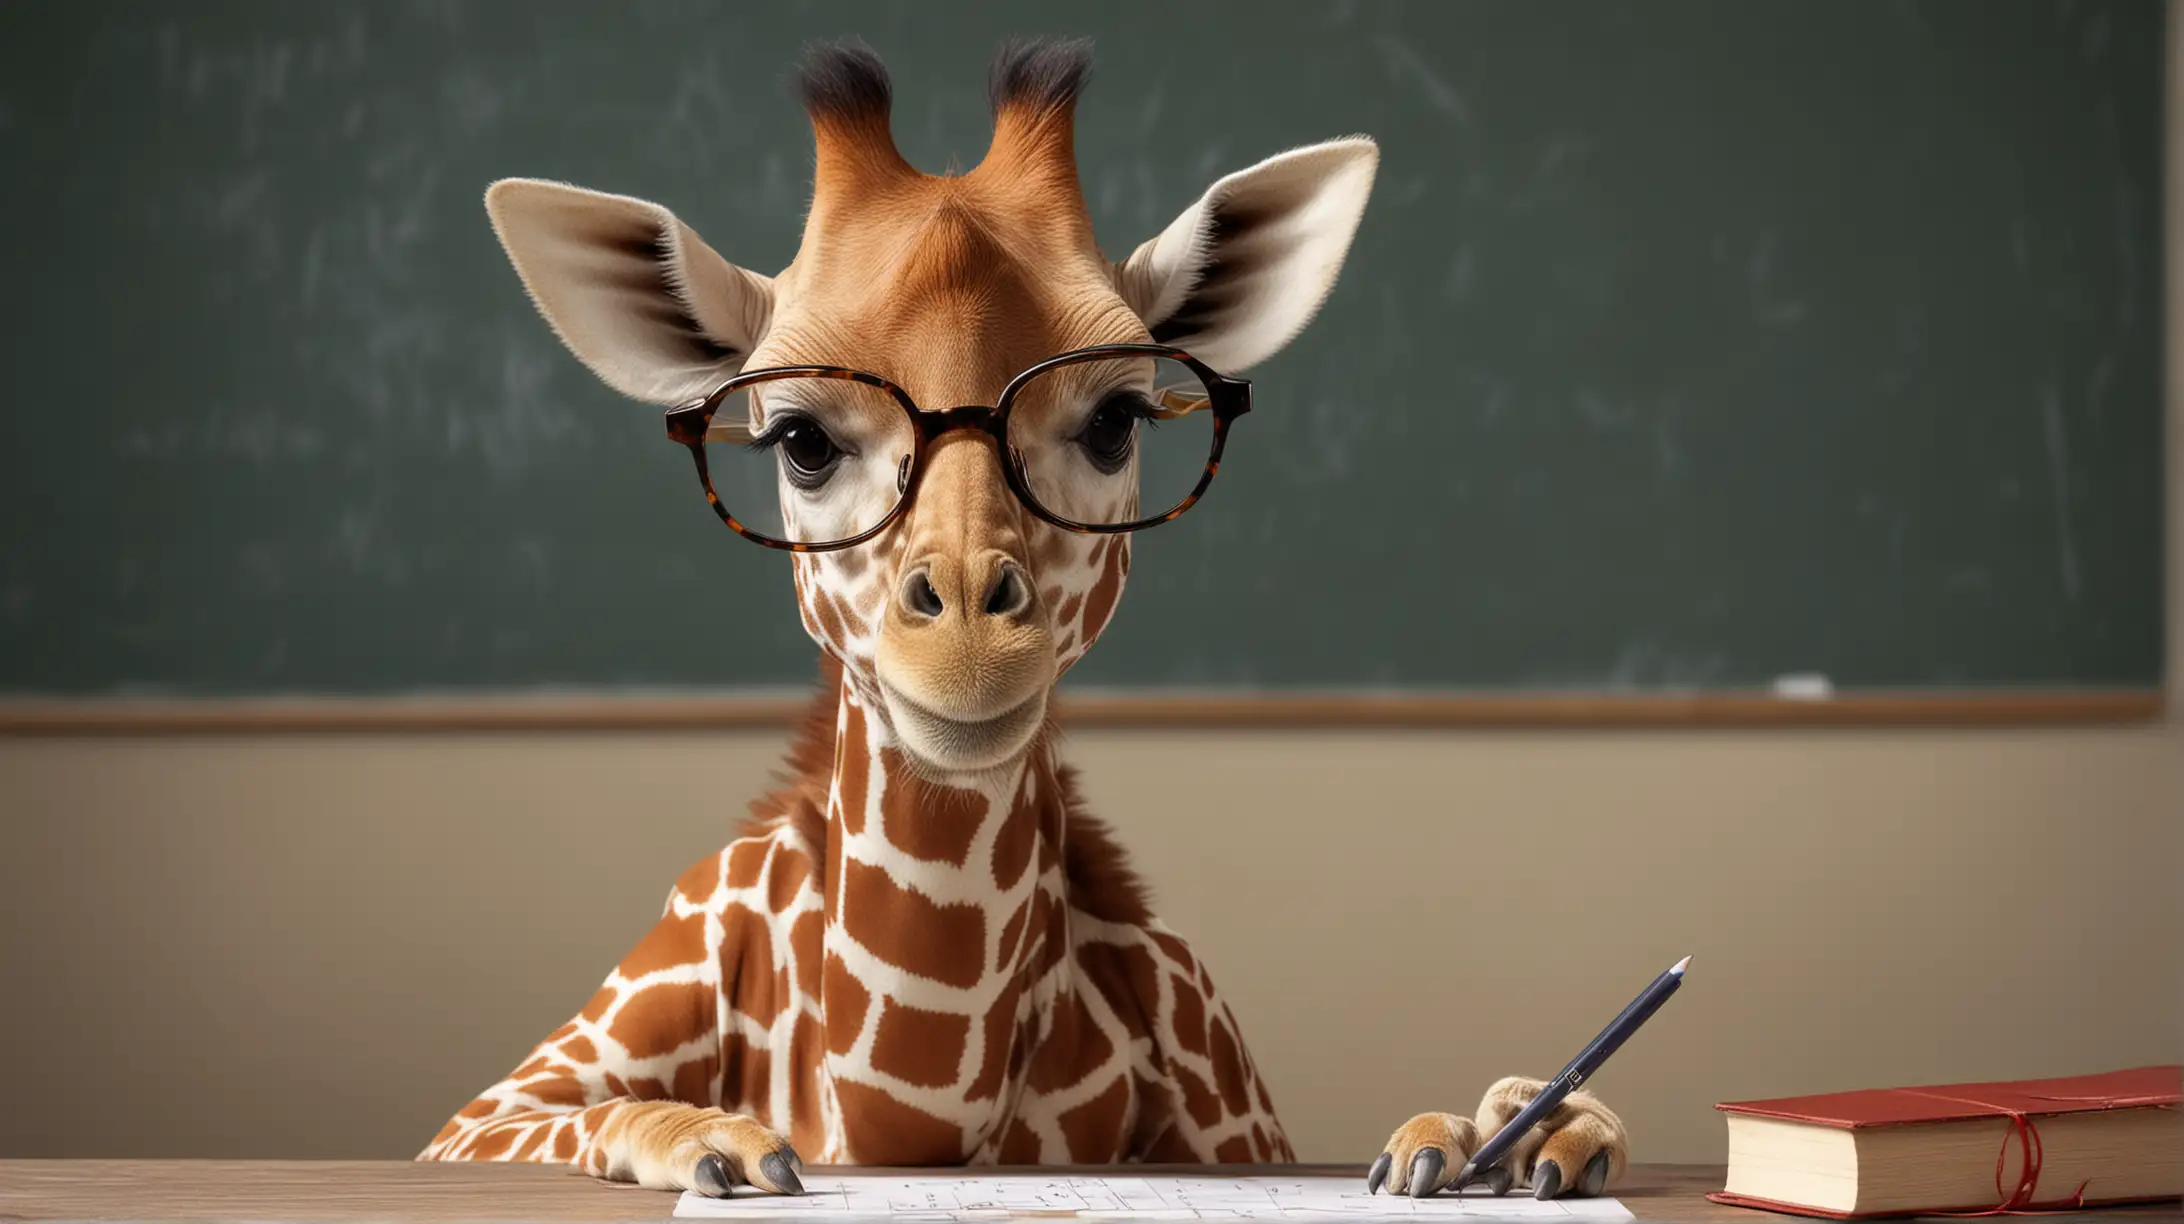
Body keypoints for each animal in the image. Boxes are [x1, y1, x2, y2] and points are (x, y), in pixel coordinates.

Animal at [417, 35, 1633, 1197]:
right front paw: (725, 1144)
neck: (912, 1118)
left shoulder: (1236, 1104)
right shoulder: (494, 1109)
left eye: (1116, 421)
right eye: (800, 440)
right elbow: (618, 1114)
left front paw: (1525, 1133)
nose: (968, 648)